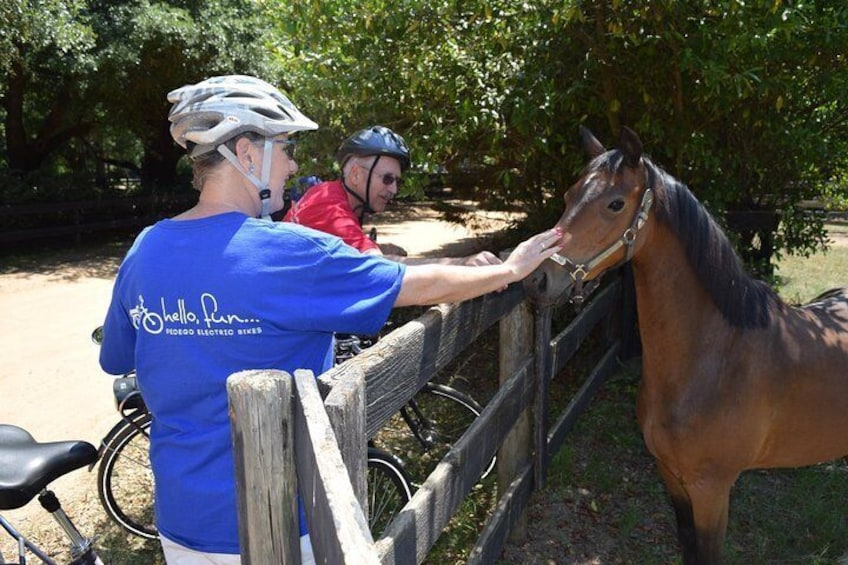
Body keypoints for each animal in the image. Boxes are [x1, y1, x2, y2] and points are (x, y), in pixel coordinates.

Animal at [524, 125, 848, 560]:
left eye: (615, 204)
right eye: (568, 196)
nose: (537, 279)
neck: (717, 359)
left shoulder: (711, 489)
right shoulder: (671, 477)